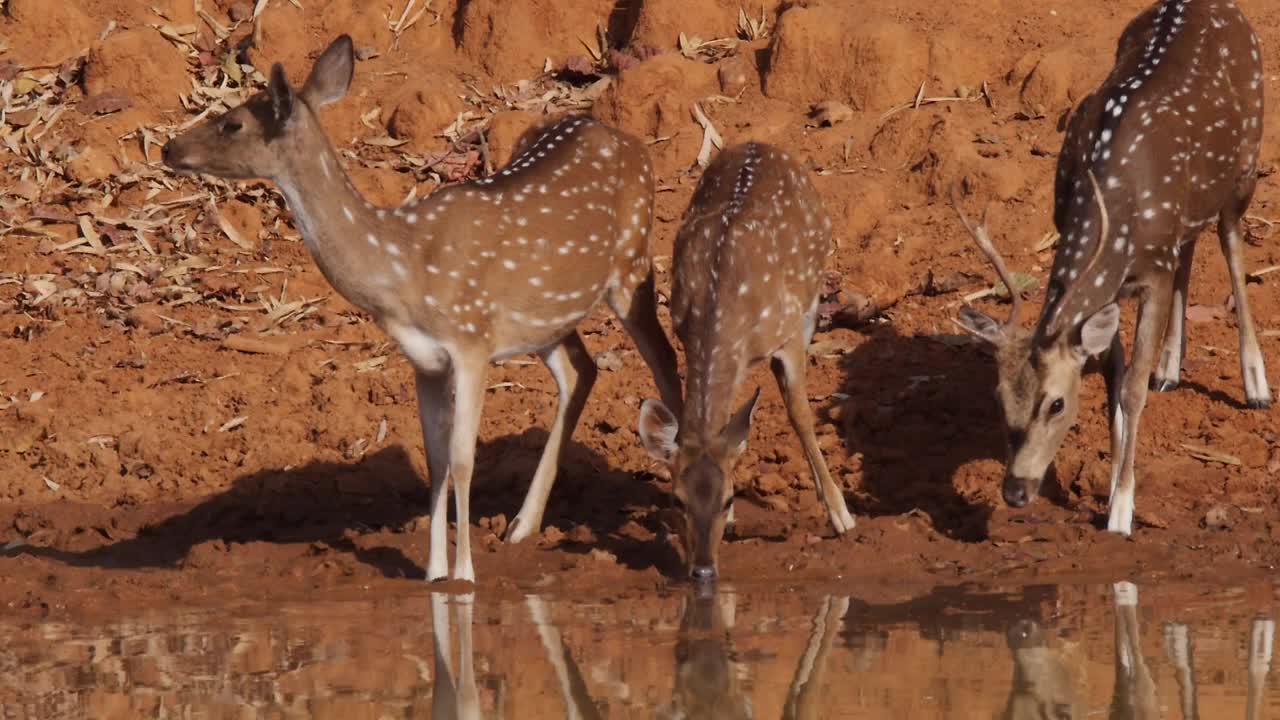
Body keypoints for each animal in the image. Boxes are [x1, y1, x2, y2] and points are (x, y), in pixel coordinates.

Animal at [163, 36, 686, 579]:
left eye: (233, 123)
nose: (168, 148)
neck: (402, 270)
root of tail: (627, 140)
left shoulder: (471, 341)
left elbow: (462, 459)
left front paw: (465, 574)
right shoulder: (426, 361)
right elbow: (435, 461)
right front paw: (434, 571)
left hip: (631, 262)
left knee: (665, 359)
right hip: (547, 314)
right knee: (581, 369)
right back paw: (524, 524)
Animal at [634, 142, 855, 579]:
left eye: (729, 498)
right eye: (677, 500)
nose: (702, 571)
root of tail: (761, 145)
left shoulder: (787, 337)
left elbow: (801, 415)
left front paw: (840, 514)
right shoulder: (684, 328)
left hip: (811, 294)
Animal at [952, 0, 1269, 532]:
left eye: (1057, 403)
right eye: (998, 397)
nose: (1015, 490)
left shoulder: (1153, 272)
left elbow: (1132, 391)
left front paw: (1121, 510)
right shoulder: (1117, 283)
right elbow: (1115, 382)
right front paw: (1114, 477)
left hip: (1245, 165)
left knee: (1230, 243)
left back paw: (1256, 383)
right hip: (1190, 208)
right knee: (1191, 247)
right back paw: (1171, 367)